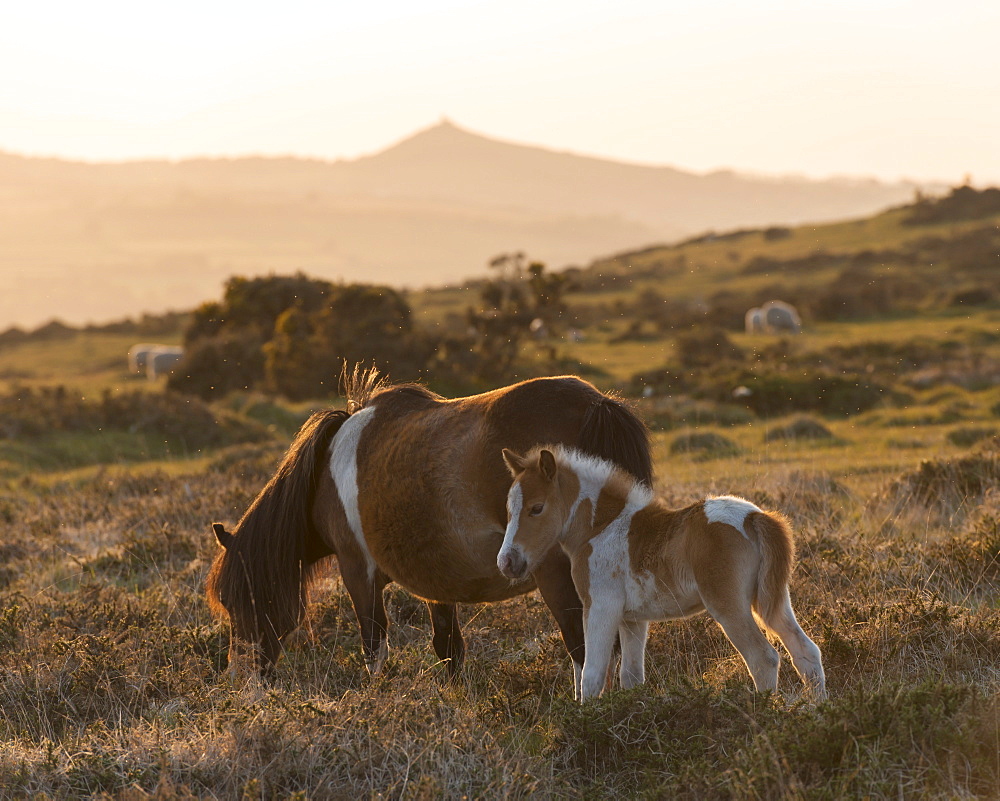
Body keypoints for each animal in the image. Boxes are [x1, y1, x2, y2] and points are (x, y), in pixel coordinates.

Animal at [207, 372, 652, 680]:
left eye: (236, 599)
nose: (241, 677)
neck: (325, 474)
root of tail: (594, 405)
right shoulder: (438, 580)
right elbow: (448, 647)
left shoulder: (356, 570)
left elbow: (373, 646)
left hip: (560, 576)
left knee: (584, 649)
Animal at [496, 444, 824, 700]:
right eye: (509, 509)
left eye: (537, 508)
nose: (507, 562)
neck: (599, 528)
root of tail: (755, 517)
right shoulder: (632, 619)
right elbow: (630, 677)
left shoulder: (599, 607)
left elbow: (592, 676)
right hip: (772, 598)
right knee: (806, 652)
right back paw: (819, 711)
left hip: (728, 605)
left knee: (763, 659)